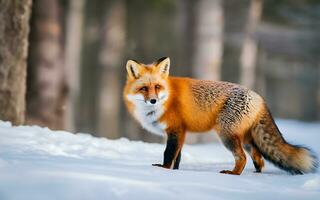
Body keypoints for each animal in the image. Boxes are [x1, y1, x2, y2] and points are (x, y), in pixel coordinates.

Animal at [122, 56, 318, 175]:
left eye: (157, 87)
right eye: (144, 88)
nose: (153, 100)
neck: (167, 98)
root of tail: (259, 97)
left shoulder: (176, 130)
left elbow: (168, 154)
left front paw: (163, 170)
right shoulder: (180, 133)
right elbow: (177, 157)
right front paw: (175, 172)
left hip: (227, 135)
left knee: (242, 157)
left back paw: (233, 173)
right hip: (246, 139)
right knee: (259, 158)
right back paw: (256, 173)